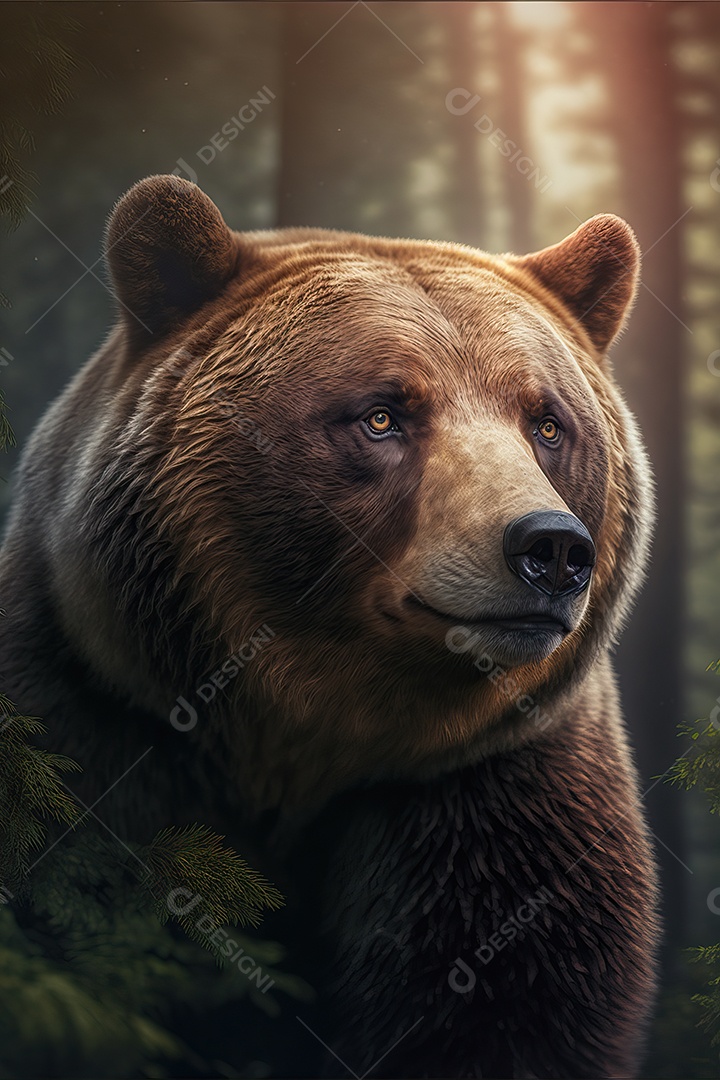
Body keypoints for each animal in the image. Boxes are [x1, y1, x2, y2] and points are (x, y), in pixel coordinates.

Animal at [0, 174, 658, 1078]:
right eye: (383, 415)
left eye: (548, 423)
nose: (550, 548)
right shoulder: (91, 719)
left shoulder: (491, 793)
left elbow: (506, 997)